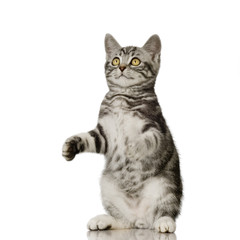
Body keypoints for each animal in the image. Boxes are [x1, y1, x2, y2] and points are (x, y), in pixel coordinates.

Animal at [62, 33, 182, 232]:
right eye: (116, 60)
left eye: (135, 61)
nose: (122, 67)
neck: (122, 96)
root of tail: (141, 219)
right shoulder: (105, 135)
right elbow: (89, 139)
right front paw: (70, 146)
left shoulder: (155, 126)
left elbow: (149, 139)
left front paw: (132, 145)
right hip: (107, 186)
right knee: (124, 221)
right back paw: (104, 220)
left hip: (166, 185)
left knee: (165, 210)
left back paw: (164, 222)